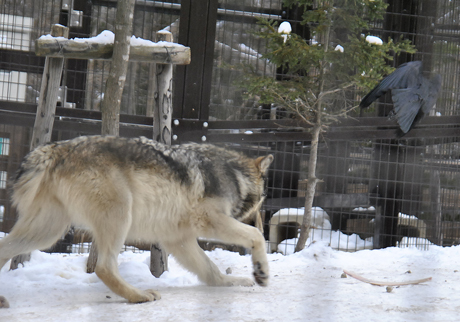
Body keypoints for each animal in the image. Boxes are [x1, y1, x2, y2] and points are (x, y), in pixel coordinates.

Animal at [0, 135, 274, 302]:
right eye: (263, 200)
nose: (264, 224)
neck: (236, 175)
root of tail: (56, 149)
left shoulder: (178, 239)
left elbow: (211, 270)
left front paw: (232, 282)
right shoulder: (209, 220)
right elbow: (255, 237)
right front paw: (261, 271)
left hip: (48, 233)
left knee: (4, 248)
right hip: (119, 216)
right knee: (104, 268)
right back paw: (139, 295)